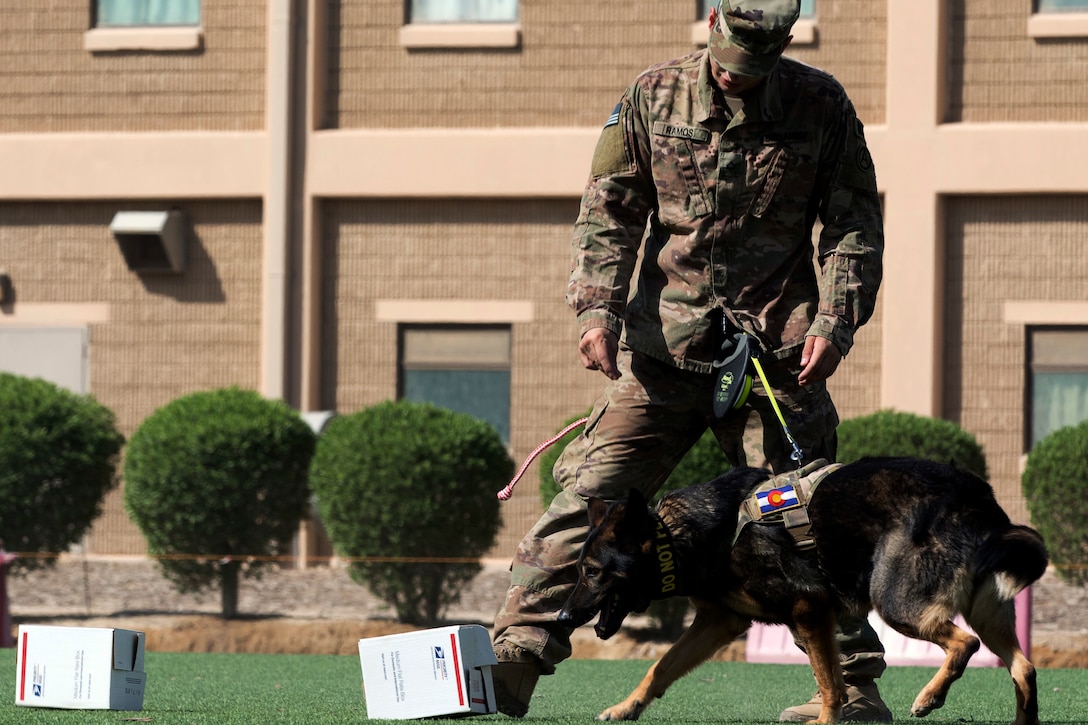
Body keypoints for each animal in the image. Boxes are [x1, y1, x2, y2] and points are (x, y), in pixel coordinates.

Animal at [557, 457, 1048, 722]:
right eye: (579, 569)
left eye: (593, 572)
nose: (562, 617)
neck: (679, 536)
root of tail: (974, 493)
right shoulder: (719, 622)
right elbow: (661, 667)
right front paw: (626, 708)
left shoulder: (808, 608)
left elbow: (830, 681)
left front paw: (827, 721)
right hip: (987, 611)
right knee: (1023, 669)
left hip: (896, 603)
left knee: (965, 643)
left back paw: (930, 697)